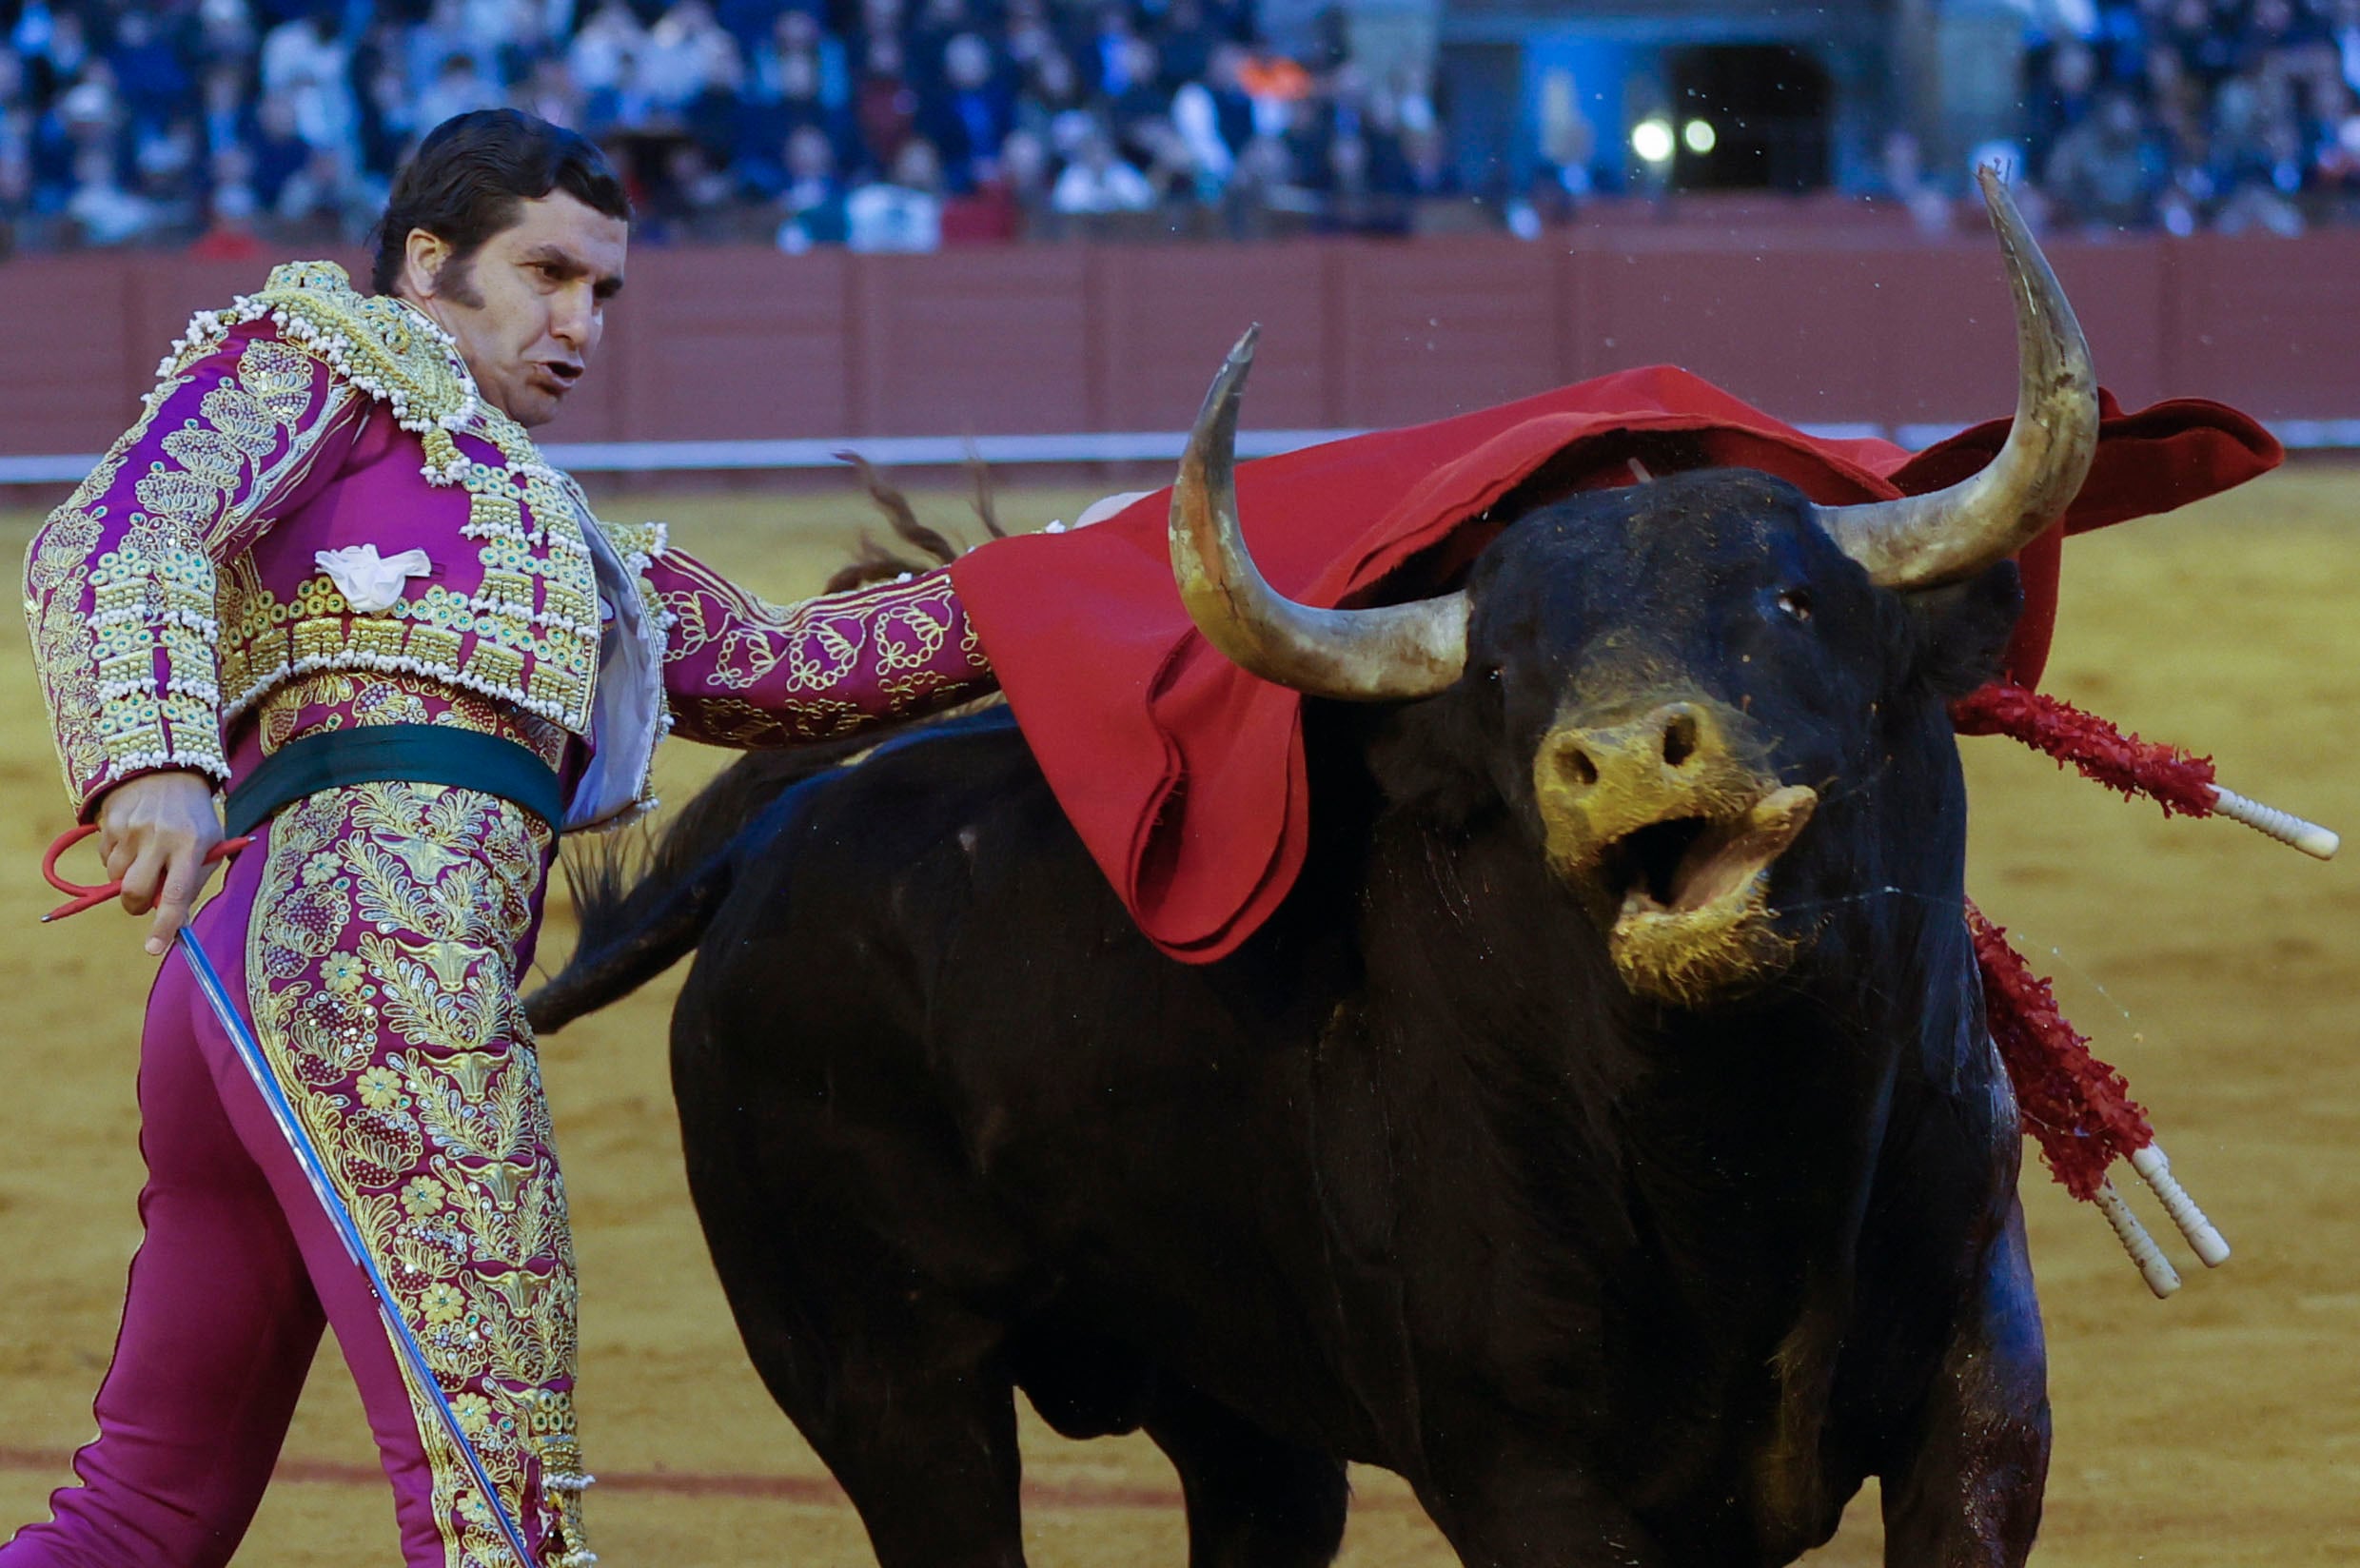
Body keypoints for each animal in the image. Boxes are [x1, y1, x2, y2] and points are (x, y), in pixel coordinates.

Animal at [531, 466, 2048, 1565]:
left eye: (1795, 601)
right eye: (1500, 674)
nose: (1619, 760)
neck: (1741, 1149)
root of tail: (766, 839)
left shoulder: (1980, 1396)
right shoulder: (1524, 1469)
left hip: (1227, 1395)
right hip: (886, 1384)